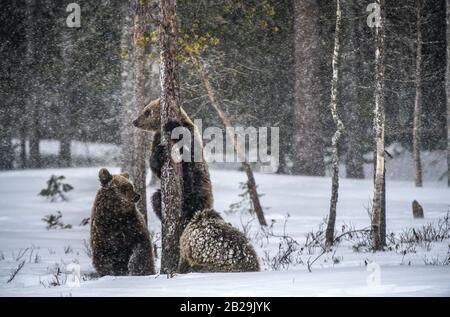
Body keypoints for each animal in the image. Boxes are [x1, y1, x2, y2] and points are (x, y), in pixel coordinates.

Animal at [132, 97, 214, 226]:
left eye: (147, 111)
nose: (135, 121)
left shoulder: (191, 133)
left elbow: (190, 149)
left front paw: (172, 126)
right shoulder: (157, 139)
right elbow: (156, 166)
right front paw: (159, 154)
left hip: (200, 187)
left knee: (195, 201)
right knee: (156, 197)